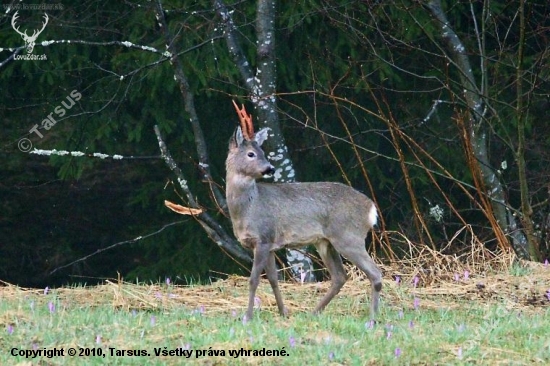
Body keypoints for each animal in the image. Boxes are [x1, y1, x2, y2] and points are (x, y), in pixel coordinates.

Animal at [229, 101, 384, 320]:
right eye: (251, 154)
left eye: (263, 153)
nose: (270, 168)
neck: (246, 209)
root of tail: (371, 208)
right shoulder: (269, 244)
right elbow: (274, 280)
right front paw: (283, 312)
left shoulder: (263, 238)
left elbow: (254, 280)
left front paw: (247, 317)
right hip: (326, 242)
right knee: (340, 276)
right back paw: (314, 312)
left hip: (348, 236)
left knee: (374, 273)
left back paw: (372, 317)